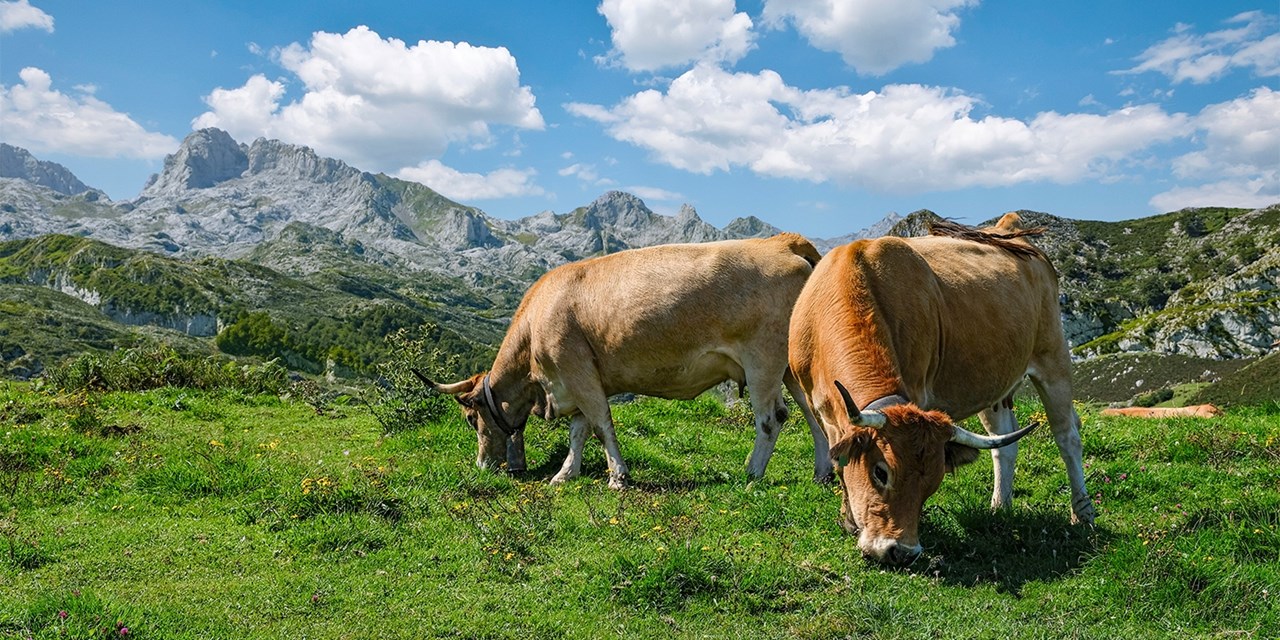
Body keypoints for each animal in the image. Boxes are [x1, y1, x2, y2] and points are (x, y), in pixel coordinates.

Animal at [424, 233, 832, 489]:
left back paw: (752, 473)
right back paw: (822, 472)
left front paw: (618, 477)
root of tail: (782, 241)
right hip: (793, 366)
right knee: (813, 413)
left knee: (771, 419)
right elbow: (578, 432)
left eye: (470, 418)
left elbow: (602, 426)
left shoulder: (577, 373)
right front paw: (565, 475)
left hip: (763, 361)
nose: (482, 466)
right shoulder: (577, 379)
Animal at [788, 214, 1093, 566]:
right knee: (1004, 443)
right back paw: (1000, 508)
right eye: (881, 472)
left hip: (1053, 358)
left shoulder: (918, 390)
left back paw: (1083, 512)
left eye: (931, 484)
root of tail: (1005, 229)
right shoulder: (818, 407)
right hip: (994, 385)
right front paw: (849, 518)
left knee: (1067, 437)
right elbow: (839, 461)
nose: (901, 551)